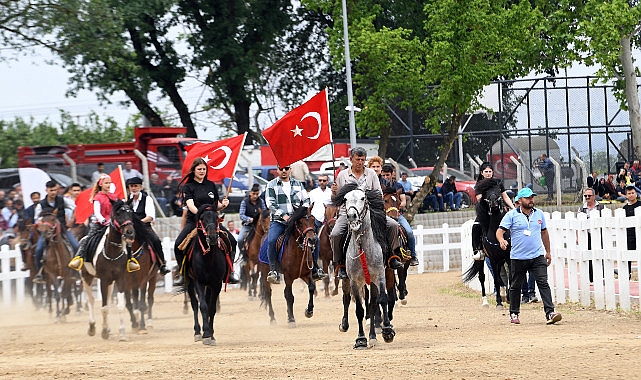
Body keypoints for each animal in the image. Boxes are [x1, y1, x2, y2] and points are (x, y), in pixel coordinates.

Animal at [79, 200, 136, 340]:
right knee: (91, 300)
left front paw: (122, 333)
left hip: (110, 282)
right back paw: (92, 327)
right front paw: (104, 331)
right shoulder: (104, 280)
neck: (112, 252)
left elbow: (119, 305)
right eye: (118, 213)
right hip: (86, 277)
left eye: (130, 213)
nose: (130, 233)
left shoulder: (120, 279)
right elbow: (104, 307)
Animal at [182, 206, 228, 346]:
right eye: (202, 219)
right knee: (194, 304)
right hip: (190, 282)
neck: (208, 259)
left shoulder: (216, 284)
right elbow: (203, 306)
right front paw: (206, 334)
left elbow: (211, 308)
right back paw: (197, 332)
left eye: (217, 218)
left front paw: (211, 334)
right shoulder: (199, 282)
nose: (213, 237)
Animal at [336, 183, 396, 348]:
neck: (363, 247)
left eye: (363, 198)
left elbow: (382, 300)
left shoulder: (380, 276)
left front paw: (387, 331)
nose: (352, 216)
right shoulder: (355, 281)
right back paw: (344, 325)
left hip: (373, 281)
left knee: (373, 304)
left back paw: (374, 336)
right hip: (347, 280)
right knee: (346, 298)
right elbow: (359, 310)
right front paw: (361, 339)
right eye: (345, 199)